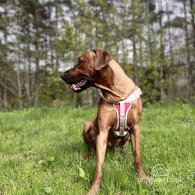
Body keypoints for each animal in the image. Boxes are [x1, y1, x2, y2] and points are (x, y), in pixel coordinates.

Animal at [61, 49, 150, 194]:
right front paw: (94, 189)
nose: (62, 75)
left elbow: (137, 156)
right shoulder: (102, 132)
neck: (116, 93)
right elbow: (98, 166)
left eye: (80, 61)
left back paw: (123, 154)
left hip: (126, 135)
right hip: (87, 126)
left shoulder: (135, 127)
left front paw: (143, 178)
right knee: (91, 148)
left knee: (120, 147)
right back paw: (86, 156)